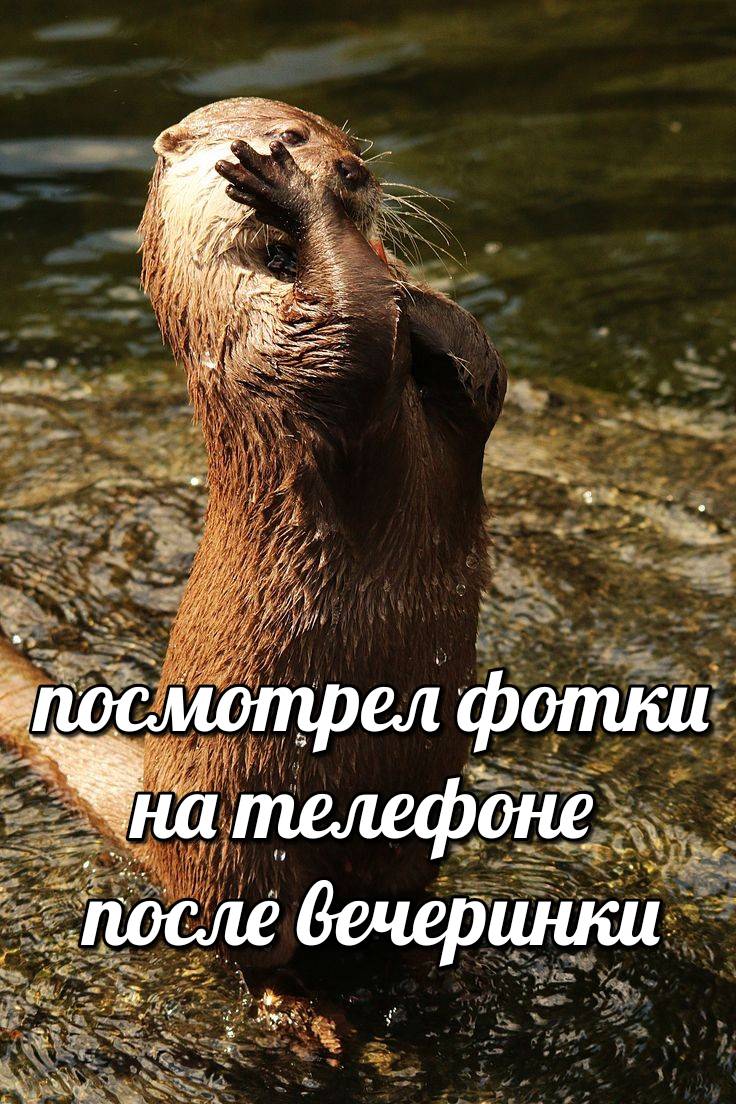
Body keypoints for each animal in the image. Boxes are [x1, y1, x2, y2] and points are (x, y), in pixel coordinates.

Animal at [0, 98, 506, 967]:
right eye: (288, 138)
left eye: (344, 137)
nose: (352, 171)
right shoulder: (261, 353)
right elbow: (349, 328)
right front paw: (298, 203)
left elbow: (481, 368)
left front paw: (407, 284)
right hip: (240, 838)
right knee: (256, 938)